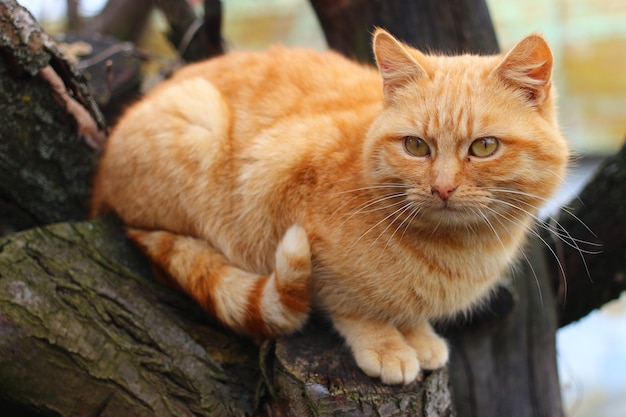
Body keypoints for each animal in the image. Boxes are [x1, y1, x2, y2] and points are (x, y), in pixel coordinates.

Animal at [91, 29, 564, 384]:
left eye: (484, 147)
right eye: (416, 146)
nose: (442, 188)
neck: (459, 248)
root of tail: (101, 188)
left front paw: (417, 335)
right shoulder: (274, 187)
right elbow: (349, 303)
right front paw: (386, 343)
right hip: (197, 130)